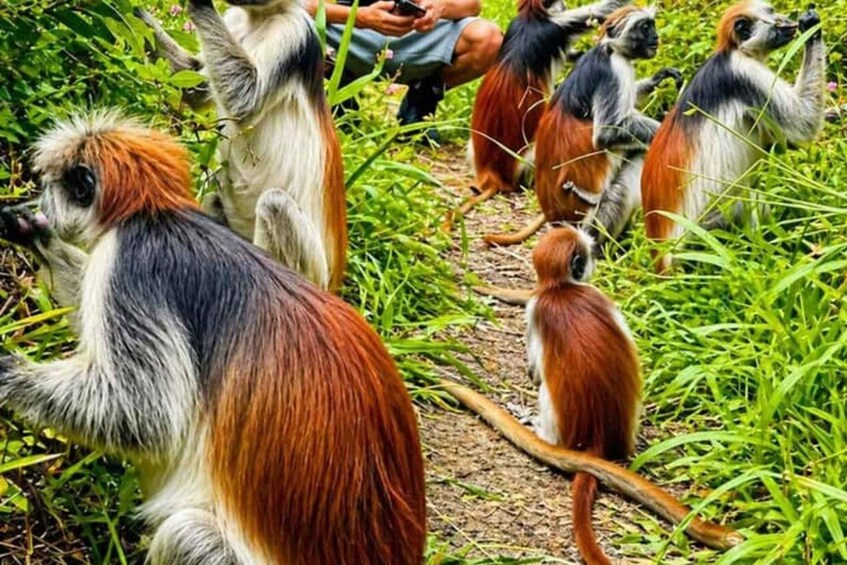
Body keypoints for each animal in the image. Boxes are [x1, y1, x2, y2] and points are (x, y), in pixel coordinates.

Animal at [0, 111, 425, 564]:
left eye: (51, 185)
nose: (42, 203)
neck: (156, 213)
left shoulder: (131, 265)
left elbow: (143, 417)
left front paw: (6, 370)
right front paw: (35, 233)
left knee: (185, 533)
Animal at [136, 0, 347, 291]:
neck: (258, 19)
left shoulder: (296, 34)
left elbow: (244, 99)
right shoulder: (234, 19)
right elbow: (196, 90)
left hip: (313, 272)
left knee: (274, 203)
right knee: (215, 199)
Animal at [484, 6, 682, 252]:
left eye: (652, 25)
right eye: (645, 27)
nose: (656, 37)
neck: (609, 49)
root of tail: (557, 220)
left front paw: (658, 78)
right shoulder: (614, 71)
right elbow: (607, 133)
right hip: (589, 220)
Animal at [641, 1, 825, 273]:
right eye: (773, 17)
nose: (785, 20)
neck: (732, 52)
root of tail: (662, 261)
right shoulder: (743, 73)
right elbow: (803, 126)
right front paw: (811, 28)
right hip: (702, 239)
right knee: (748, 201)